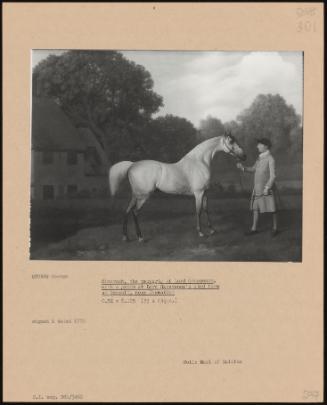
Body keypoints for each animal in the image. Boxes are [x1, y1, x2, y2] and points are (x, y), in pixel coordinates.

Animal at [109, 132, 246, 240]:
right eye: (231, 141)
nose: (244, 156)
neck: (200, 162)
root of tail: (132, 165)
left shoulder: (205, 193)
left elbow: (206, 209)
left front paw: (212, 230)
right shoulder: (198, 193)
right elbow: (198, 211)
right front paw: (201, 232)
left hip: (136, 195)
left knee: (127, 211)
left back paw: (125, 237)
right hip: (143, 196)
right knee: (135, 212)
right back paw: (140, 237)